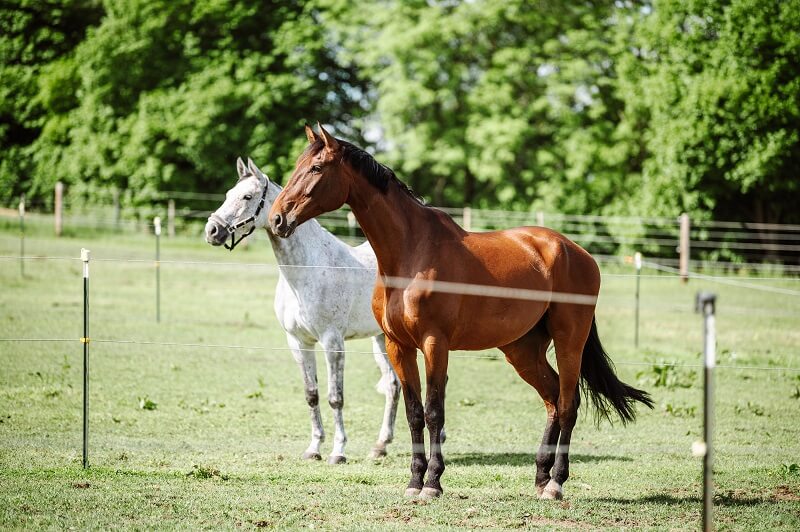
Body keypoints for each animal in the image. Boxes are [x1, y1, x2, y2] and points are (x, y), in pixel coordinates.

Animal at [203, 157, 396, 462]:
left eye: (247, 197)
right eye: (227, 195)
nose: (212, 231)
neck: (308, 269)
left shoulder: (332, 342)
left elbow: (335, 397)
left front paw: (338, 451)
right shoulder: (299, 342)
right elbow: (312, 394)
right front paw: (314, 448)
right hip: (381, 339)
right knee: (392, 385)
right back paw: (380, 446)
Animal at [268, 122, 648, 500]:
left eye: (317, 168)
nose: (278, 218)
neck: (411, 254)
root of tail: (575, 252)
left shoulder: (435, 344)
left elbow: (435, 412)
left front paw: (433, 483)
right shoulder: (398, 346)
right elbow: (414, 413)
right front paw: (414, 481)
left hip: (570, 340)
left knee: (568, 403)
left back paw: (555, 483)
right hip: (523, 349)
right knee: (553, 399)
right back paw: (541, 477)